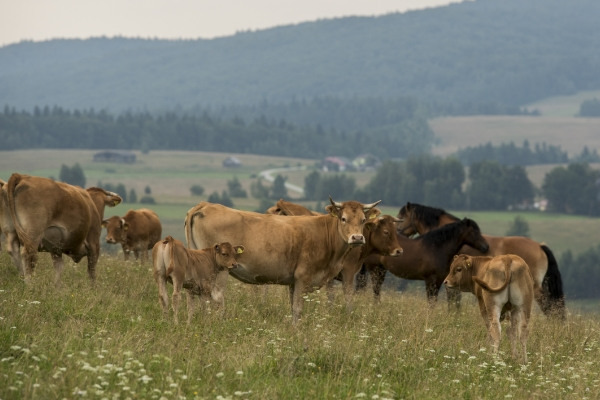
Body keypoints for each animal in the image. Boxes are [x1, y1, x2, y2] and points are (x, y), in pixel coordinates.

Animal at [184, 197, 380, 324]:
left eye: (363, 219)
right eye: (343, 218)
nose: (357, 238)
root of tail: (205, 205)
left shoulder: (293, 282)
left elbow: (293, 308)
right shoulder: (303, 277)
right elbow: (298, 309)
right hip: (220, 270)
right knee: (216, 297)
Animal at [358, 217, 490, 304]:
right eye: (474, 231)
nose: (486, 247)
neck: (437, 248)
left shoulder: (439, 281)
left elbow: (434, 301)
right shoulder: (430, 280)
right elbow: (431, 302)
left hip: (381, 270)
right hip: (375, 270)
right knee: (376, 290)